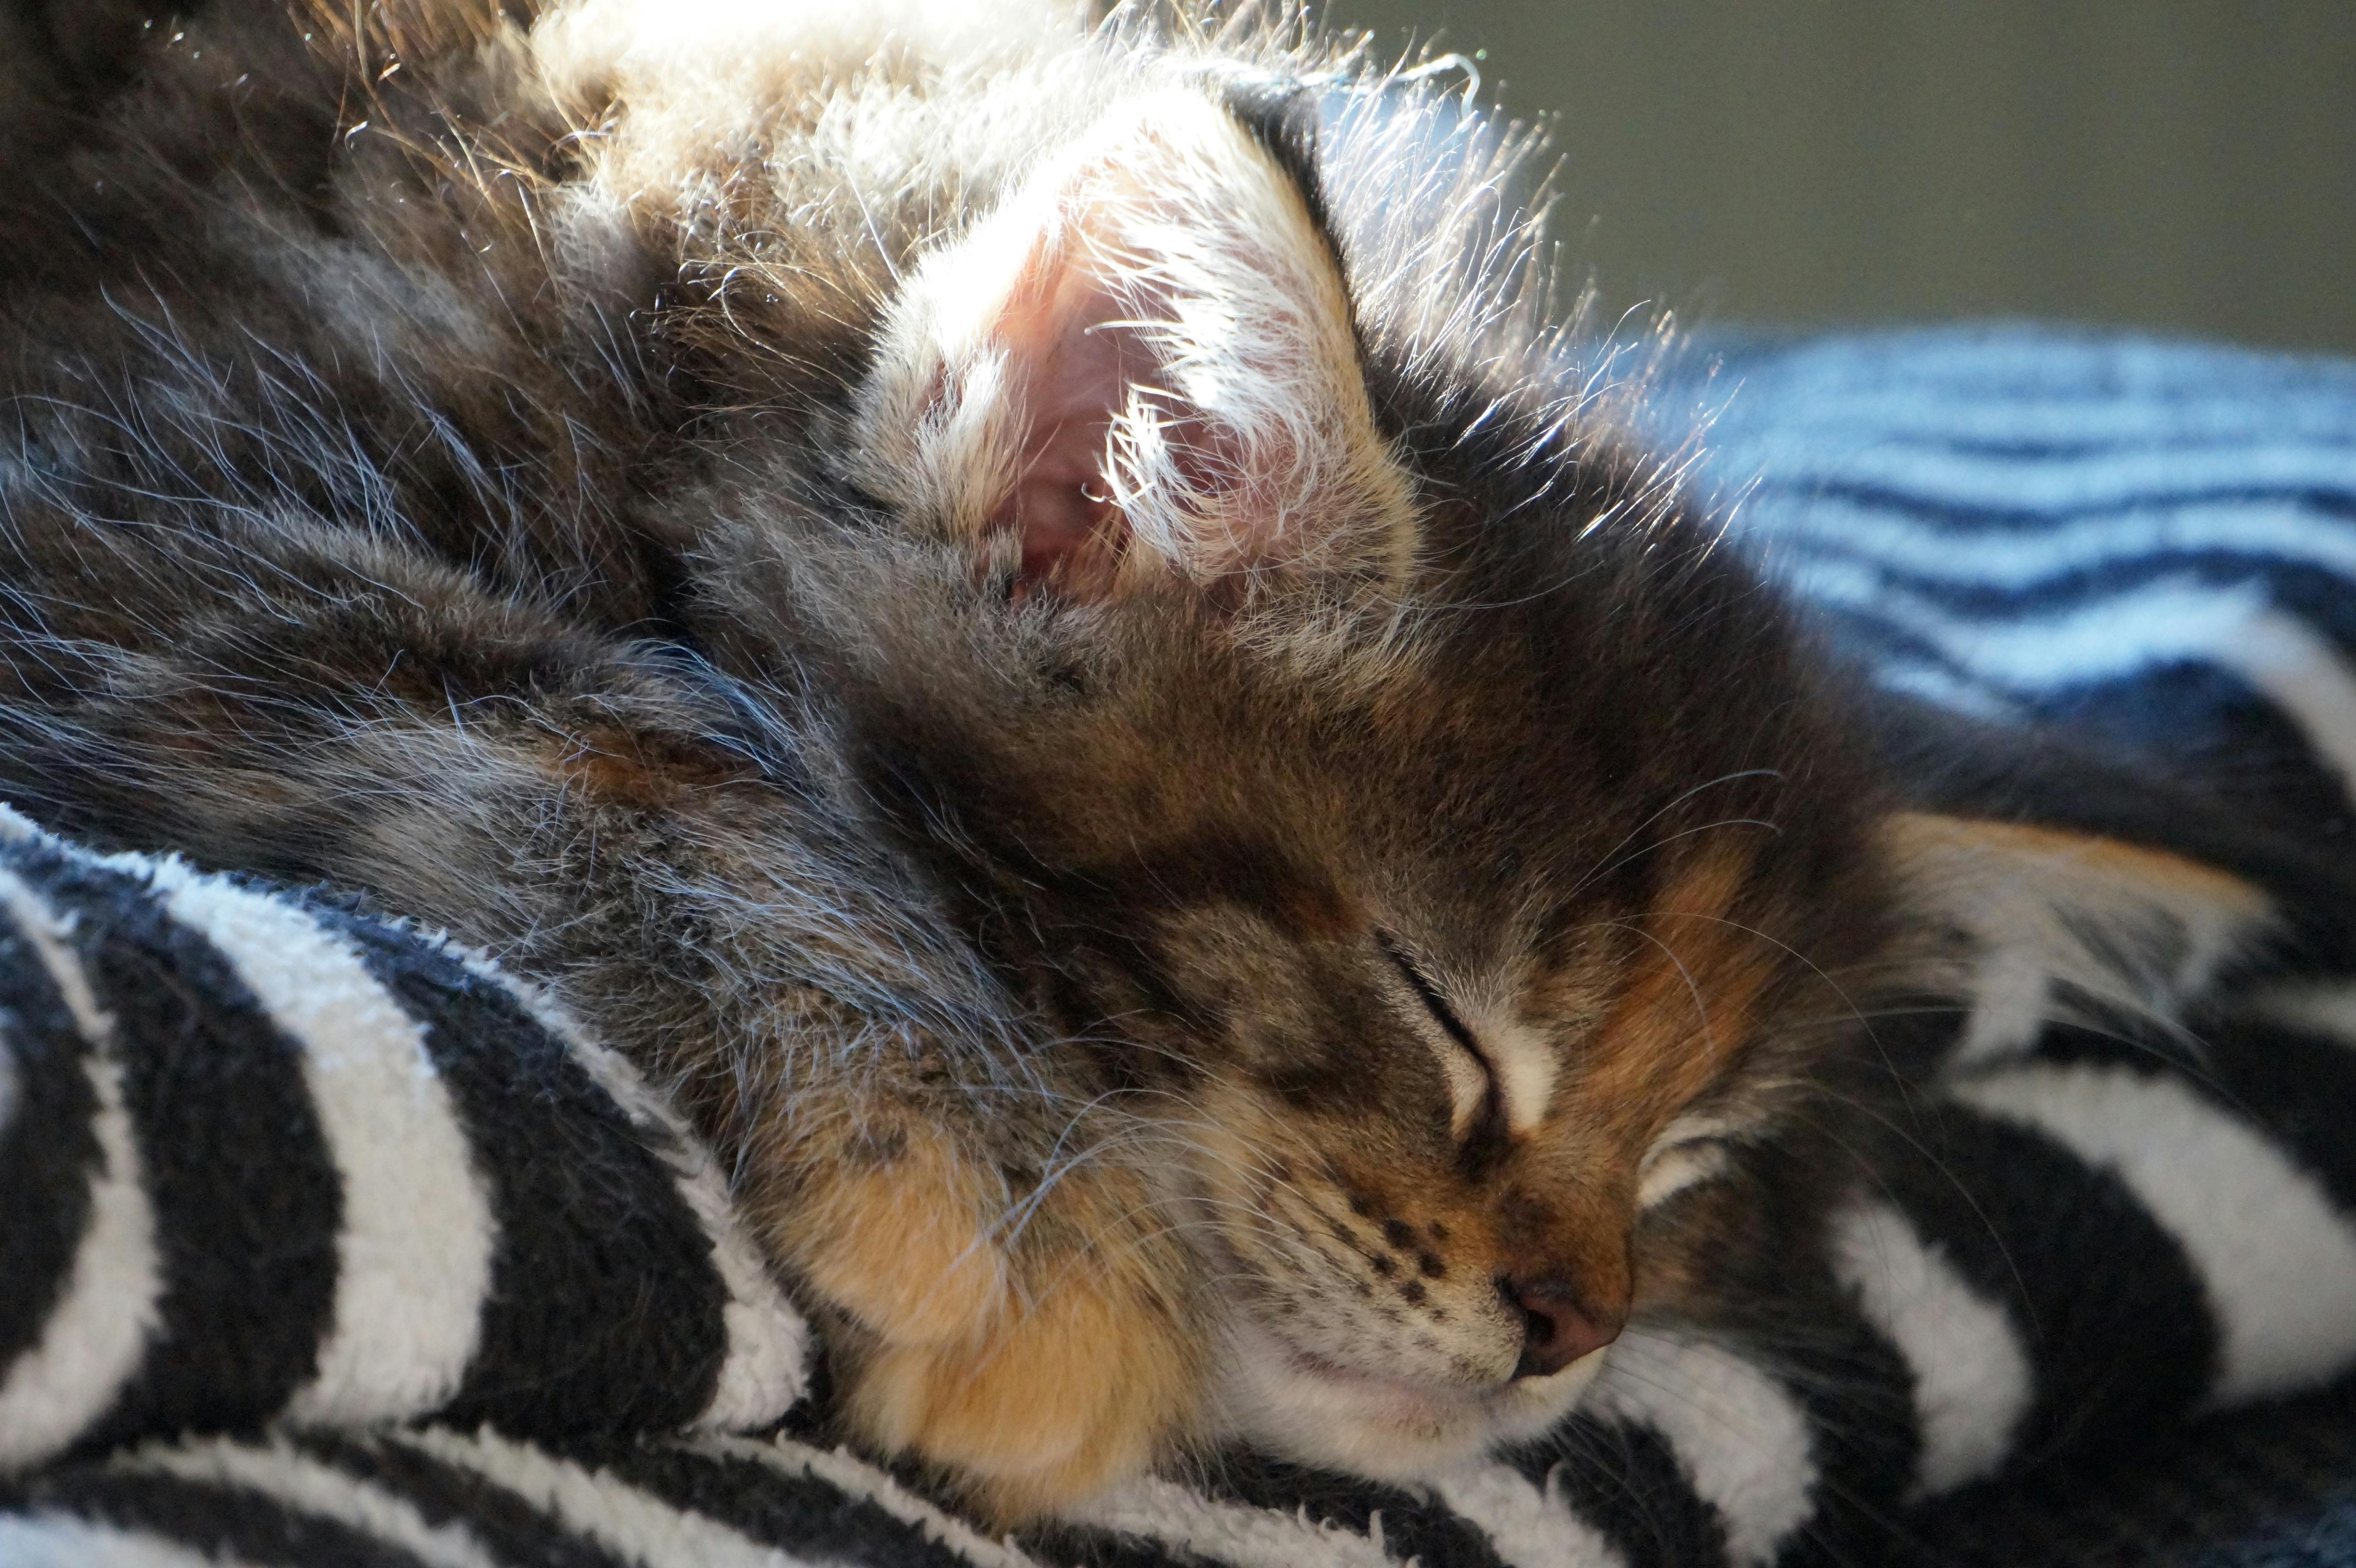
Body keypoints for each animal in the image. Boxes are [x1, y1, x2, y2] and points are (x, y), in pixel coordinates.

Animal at [0, 0, 2130, 1516]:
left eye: (1695, 1159)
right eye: (1444, 1018)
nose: (1568, 1329)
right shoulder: (111, 510)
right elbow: (602, 726)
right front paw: (970, 1165)